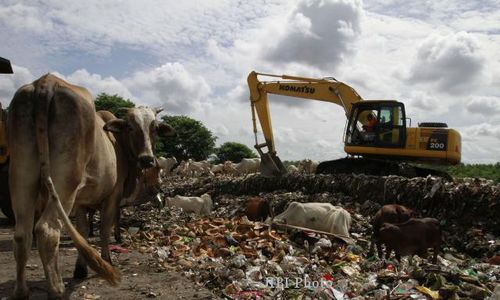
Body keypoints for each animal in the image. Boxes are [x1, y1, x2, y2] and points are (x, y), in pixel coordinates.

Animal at [6, 74, 176, 298]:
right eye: (131, 126)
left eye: (154, 128)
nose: (147, 159)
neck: (117, 142)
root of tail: (45, 83)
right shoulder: (112, 196)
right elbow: (104, 228)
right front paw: (106, 260)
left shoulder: (81, 201)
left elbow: (84, 231)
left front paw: (81, 268)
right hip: (65, 183)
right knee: (46, 230)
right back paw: (57, 289)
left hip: (22, 177)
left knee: (21, 234)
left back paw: (21, 291)